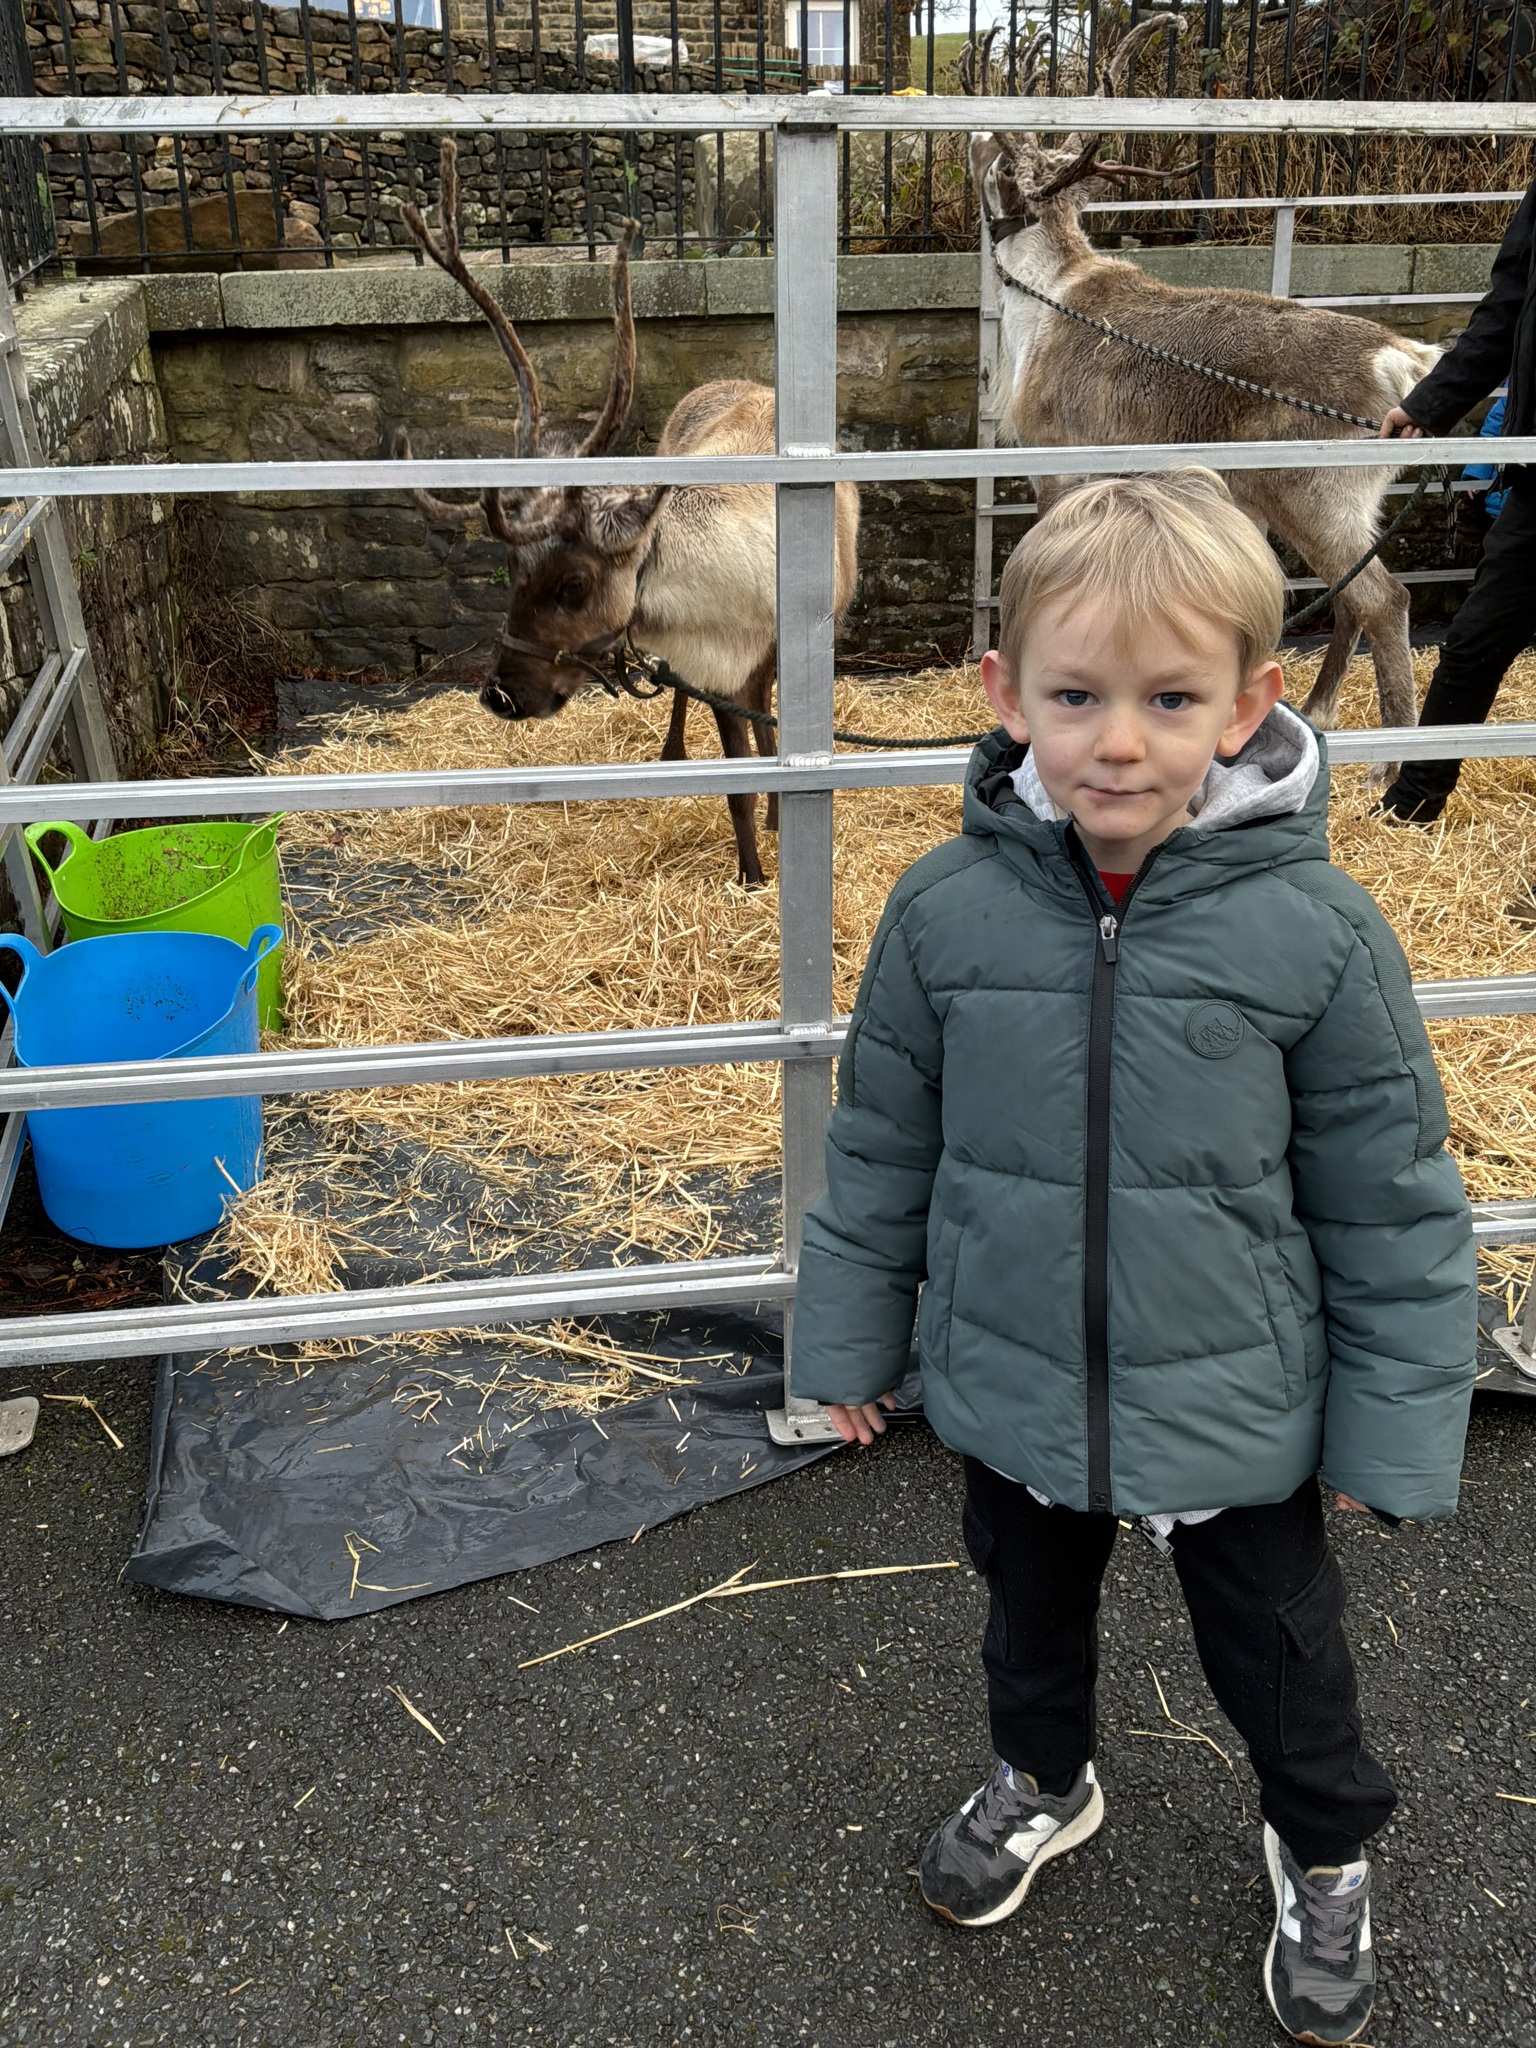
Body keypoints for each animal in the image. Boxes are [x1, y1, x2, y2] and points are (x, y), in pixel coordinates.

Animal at [391, 142, 859, 888]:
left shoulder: (777, 654)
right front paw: (753, 874)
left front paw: (773, 839)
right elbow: (738, 774)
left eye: (573, 585)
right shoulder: (711, 667)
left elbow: (771, 740)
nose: (500, 695)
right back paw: (673, 753)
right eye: (512, 572)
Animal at [966, 18, 1442, 733]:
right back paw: (1318, 709)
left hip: (1314, 494)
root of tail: (1397, 360)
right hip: (1341, 502)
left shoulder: (1058, 461)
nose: (972, 136)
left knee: (1383, 600)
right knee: (1354, 597)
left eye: (998, 164)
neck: (1043, 294)